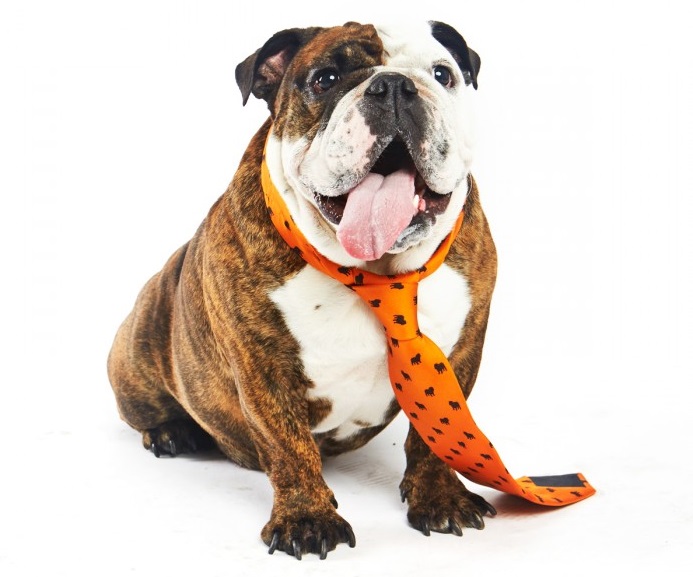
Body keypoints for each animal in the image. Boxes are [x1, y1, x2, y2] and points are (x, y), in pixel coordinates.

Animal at [108, 19, 498, 560]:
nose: (394, 85)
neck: (378, 273)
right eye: (324, 78)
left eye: (442, 74)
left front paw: (440, 497)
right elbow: (289, 447)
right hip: (134, 354)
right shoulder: (263, 370)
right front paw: (308, 518)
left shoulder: (458, 357)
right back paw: (171, 432)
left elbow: (437, 437)